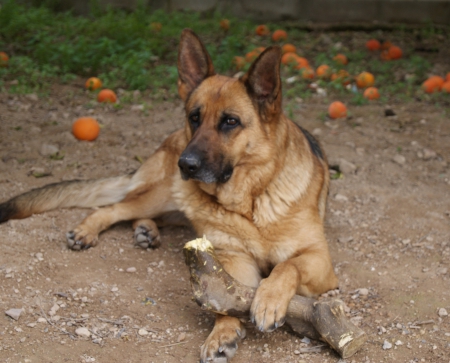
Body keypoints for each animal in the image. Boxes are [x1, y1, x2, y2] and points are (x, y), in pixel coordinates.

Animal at [0, 29, 338, 363]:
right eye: (194, 117)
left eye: (230, 121)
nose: (186, 164)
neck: (253, 201)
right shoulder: (233, 259)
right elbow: (226, 296)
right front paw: (222, 332)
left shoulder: (320, 259)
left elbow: (286, 266)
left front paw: (268, 299)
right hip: (165, 193)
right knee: (114, 208)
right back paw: (89, 230)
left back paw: (146, 230)